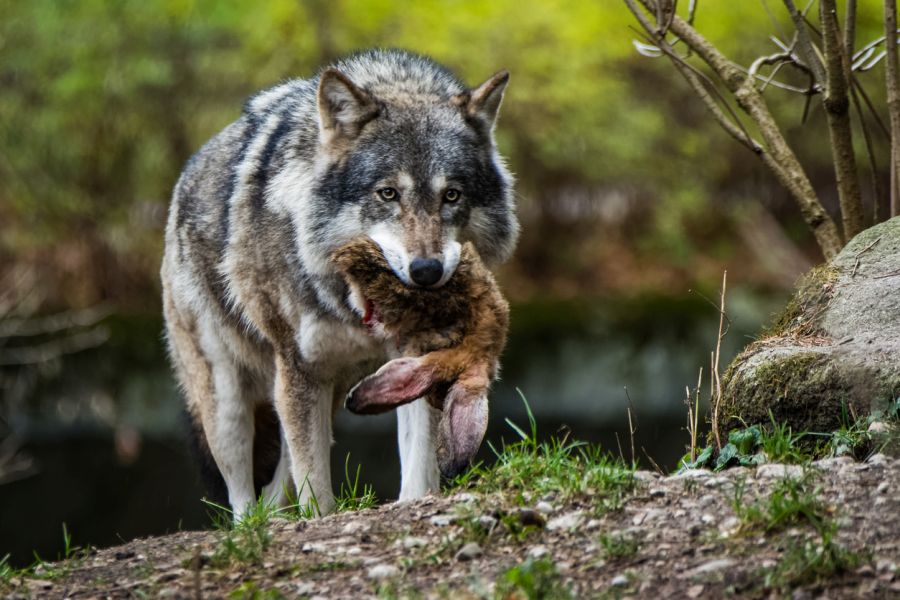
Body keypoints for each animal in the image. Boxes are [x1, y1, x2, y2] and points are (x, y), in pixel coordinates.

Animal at [158, 49, 516, 516]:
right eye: (387, 194)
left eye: (451, 195)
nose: (426, 271)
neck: (352, 306)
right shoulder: (300, 369)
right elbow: (314, 491)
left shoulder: (414, 359)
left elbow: (418, 465)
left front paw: (414, 502)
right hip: (230, 402)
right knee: (243, 499)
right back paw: (252, 524)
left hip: (323, 393)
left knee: (278, 484)